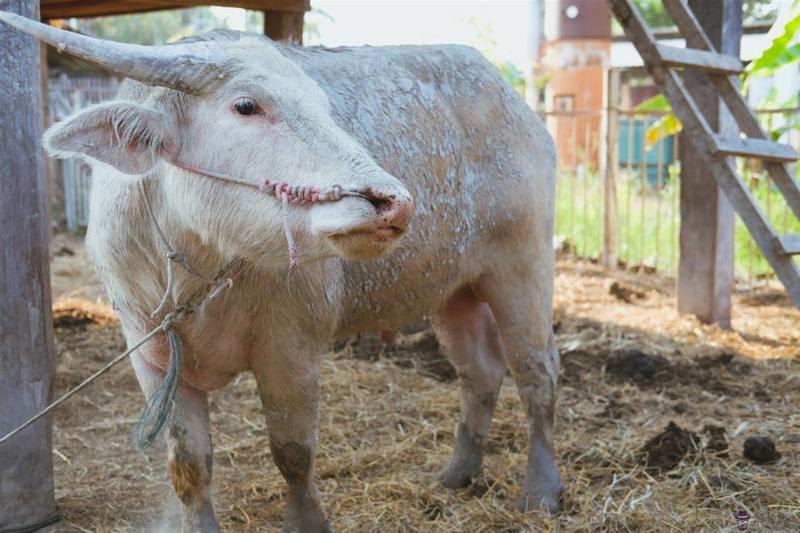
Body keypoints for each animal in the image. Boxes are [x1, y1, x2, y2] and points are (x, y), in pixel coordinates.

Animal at [1, 12, 564, 532]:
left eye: (324, 109)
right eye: (247, 105)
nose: (394, 203)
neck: (199, 275)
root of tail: (517, 105)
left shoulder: (291, 349)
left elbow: (292, 452)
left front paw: (306, 520)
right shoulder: (152, 356)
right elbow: (190, 468)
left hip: (523, 270)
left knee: (537, 375)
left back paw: (542, 490)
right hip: (452, 290)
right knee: (480, 371)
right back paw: (458, 473)